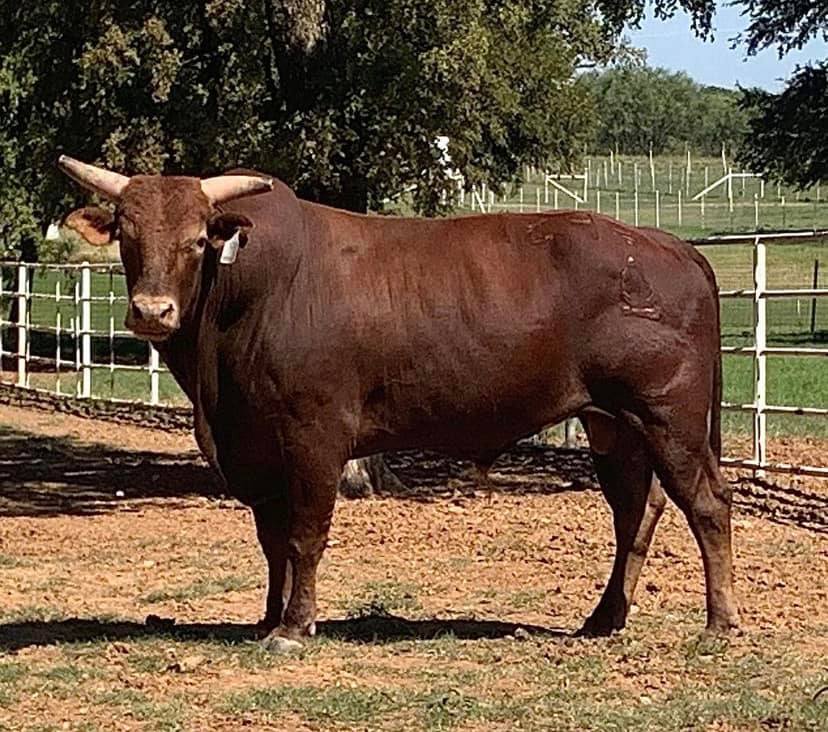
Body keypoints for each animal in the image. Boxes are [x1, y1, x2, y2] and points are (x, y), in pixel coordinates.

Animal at [57, 156, 740, 652]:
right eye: (127, 234)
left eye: (199, 239)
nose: (152, 312)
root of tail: (670, 245)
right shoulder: (255, 449)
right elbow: (272, 539)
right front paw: (269, 618)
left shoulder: (314, 437)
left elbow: (304, 536)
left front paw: (294, 629)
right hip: (611, 422)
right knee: (636, 510)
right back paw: (603, 619)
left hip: (668, 416)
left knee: (706, 504)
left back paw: (719, 623)